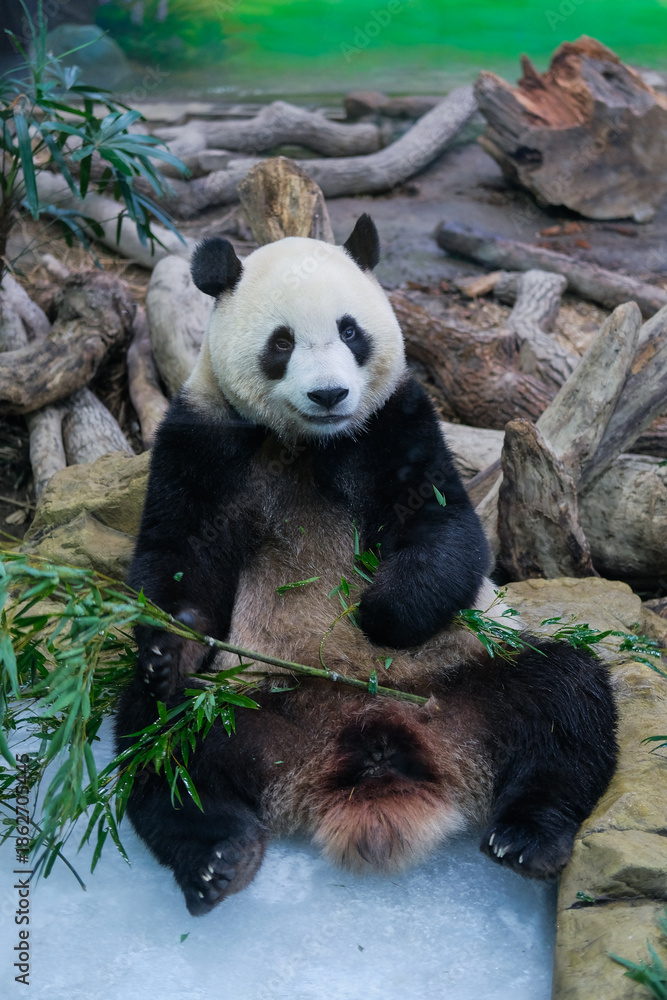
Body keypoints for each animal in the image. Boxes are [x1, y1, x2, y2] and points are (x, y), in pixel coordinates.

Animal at [115, 215, 617, 916]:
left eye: (351, 331)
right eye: (281, 342)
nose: (330, 394)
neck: (309, 443)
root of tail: (373, 750)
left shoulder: (396, 420)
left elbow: (442, 528)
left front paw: (378, 612)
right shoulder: (203, 439)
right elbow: (180, 557)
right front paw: (170, 647)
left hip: (463, 674)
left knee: (565, 699)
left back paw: (528, 838)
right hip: (249, 698)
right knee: (163, 737)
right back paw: (217, 857)